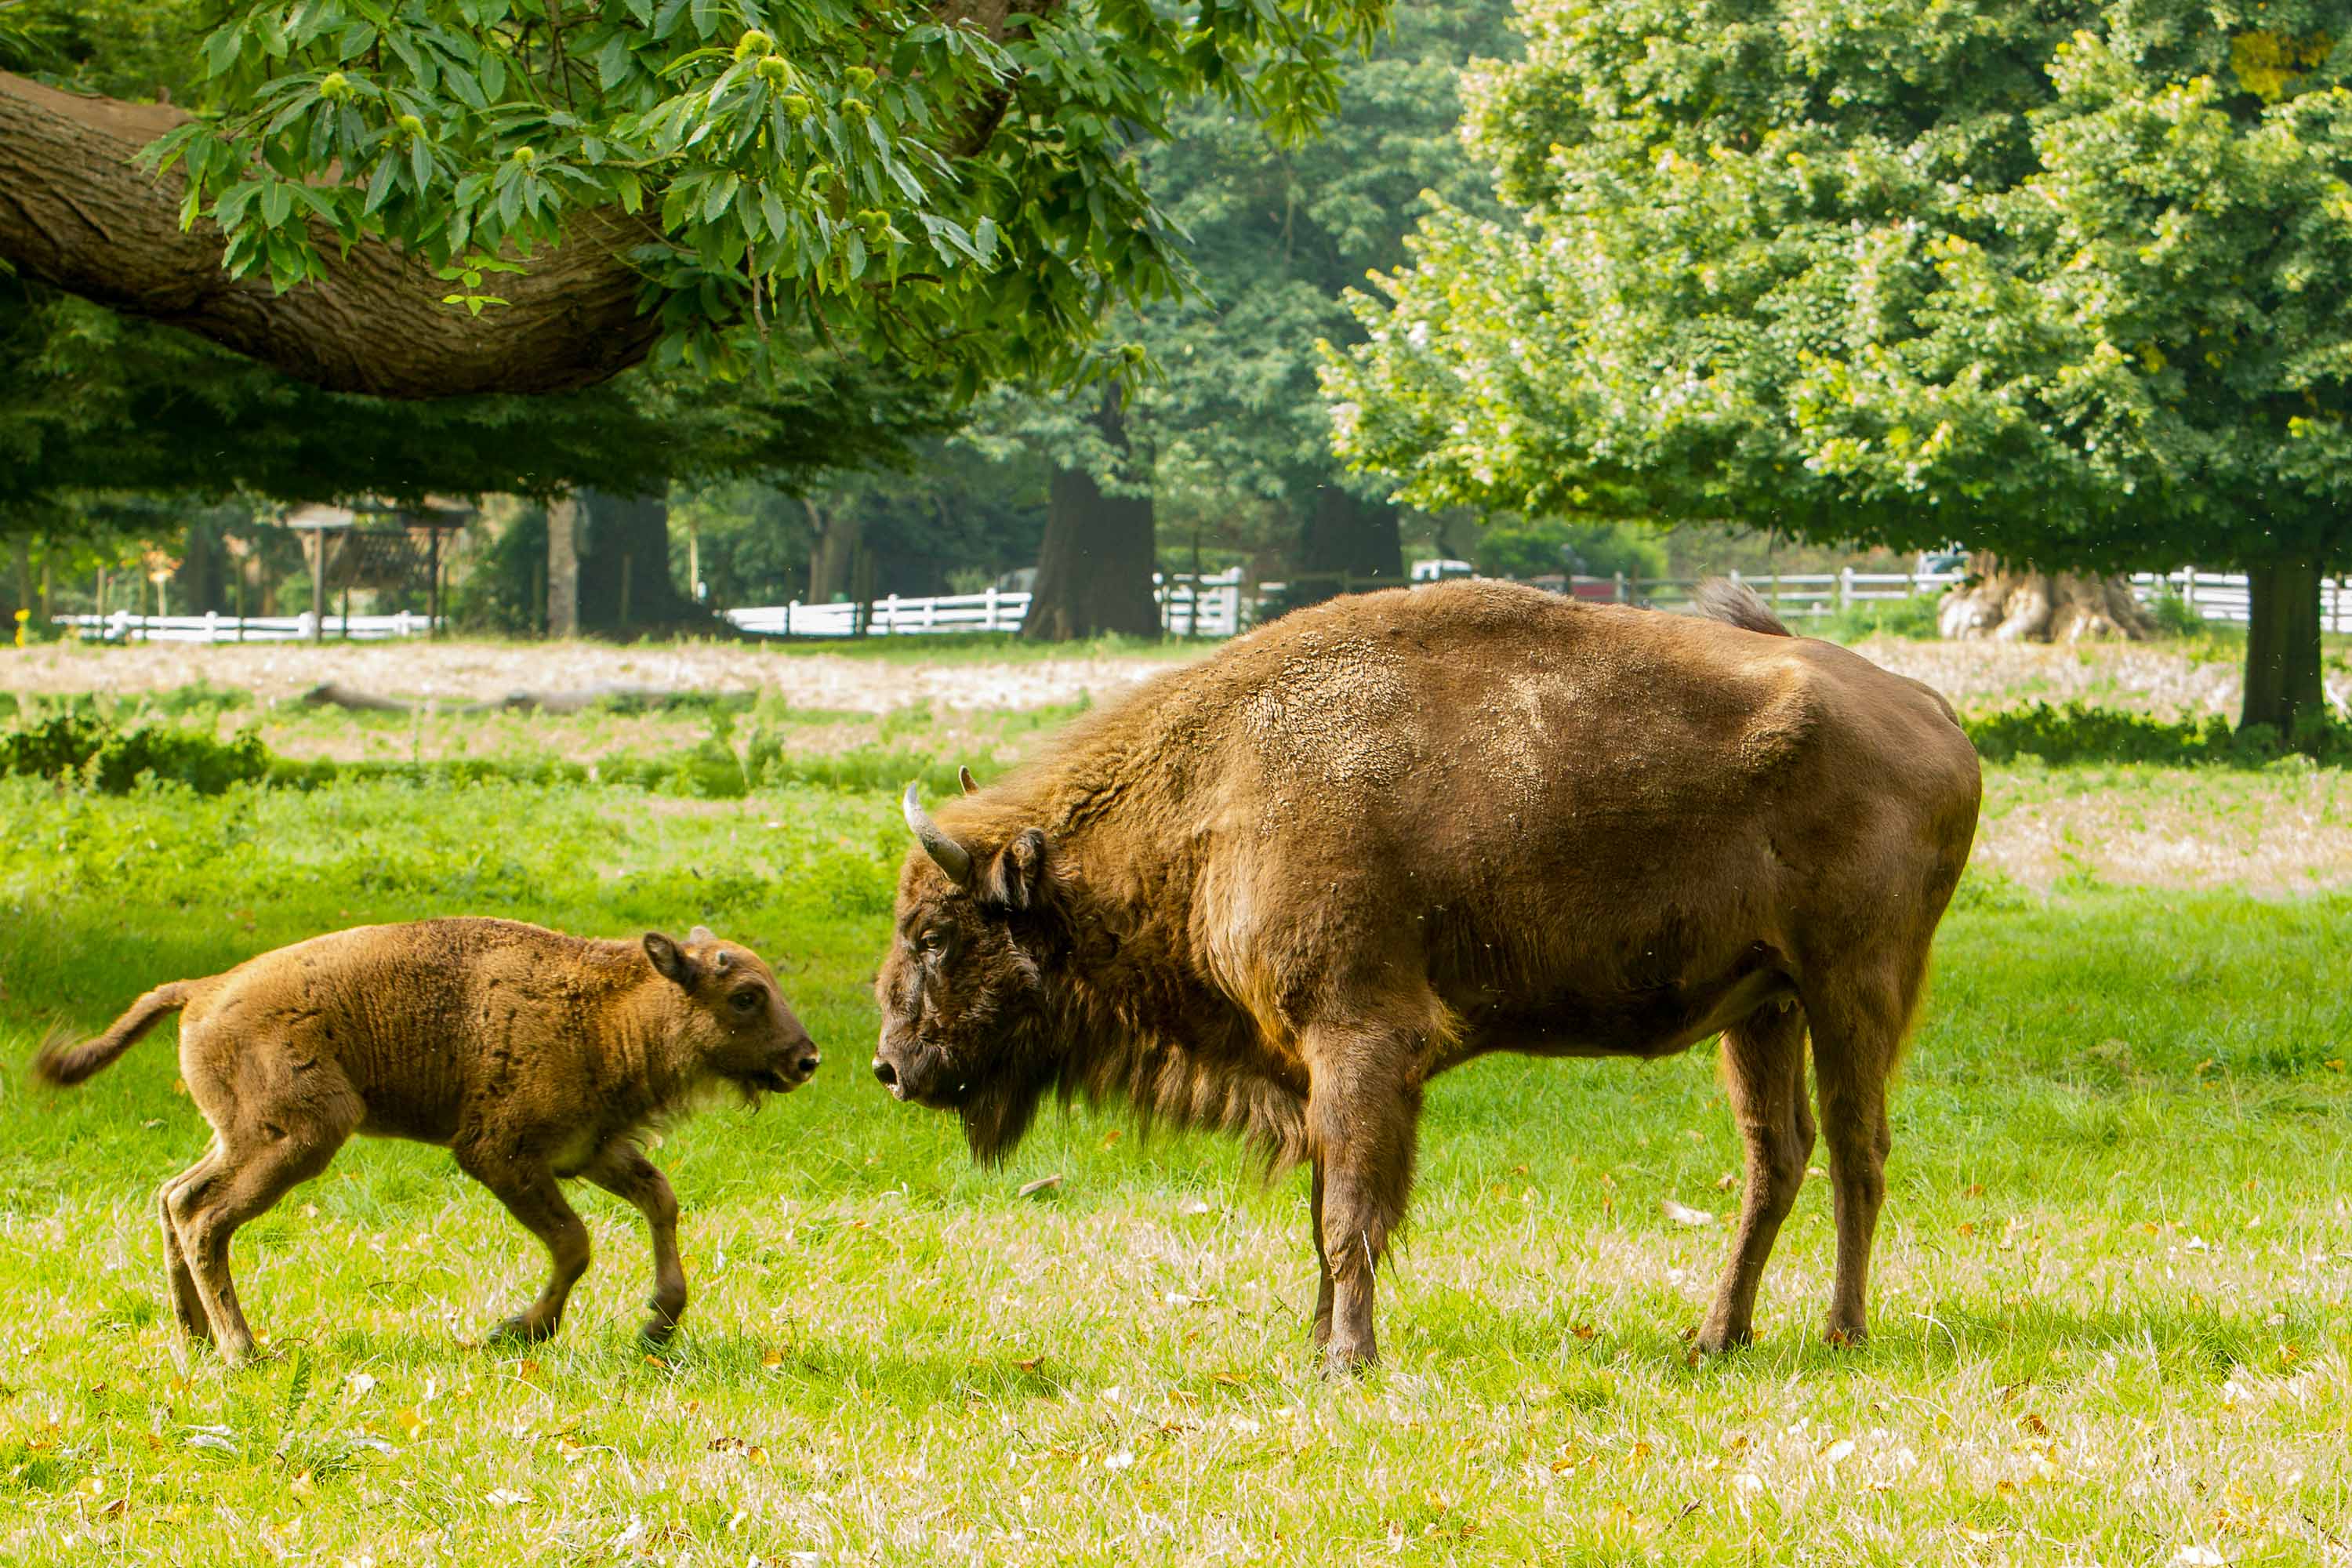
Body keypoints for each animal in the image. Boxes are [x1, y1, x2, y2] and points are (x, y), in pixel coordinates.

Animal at [875, 580, 1980, 1371]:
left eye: (934, 932)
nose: (889, 1066)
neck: (1223, 789)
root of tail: (1931, 709)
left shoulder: (1362, 1043)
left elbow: (1350, 1214)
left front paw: (1349, 1358)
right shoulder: (1316, 1070)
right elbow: (1326, 1207)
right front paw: (1317, 1339)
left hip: (1851, 987)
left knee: (1856, 1147)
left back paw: (1842, 1331)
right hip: (1762, 1008)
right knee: (1775, 1156)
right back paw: (1718, 1335)